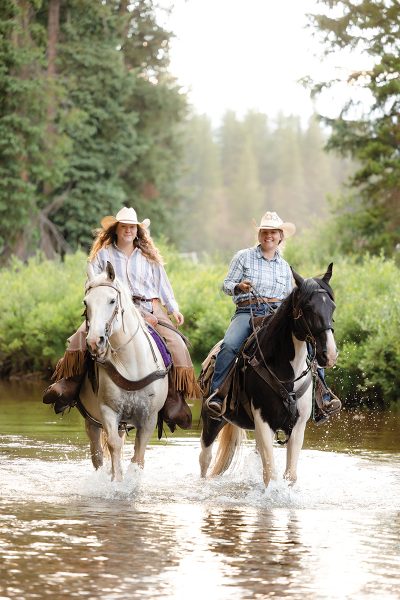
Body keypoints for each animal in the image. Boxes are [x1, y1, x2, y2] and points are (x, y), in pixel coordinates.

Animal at [79, 262, 169, 482]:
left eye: (112, 300)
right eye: (86, 302)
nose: (94, 341)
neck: (131, 365)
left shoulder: (149, 418)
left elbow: (138, 456)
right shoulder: (107, 411)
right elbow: (114, 446)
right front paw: (117, 482)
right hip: (91, 422)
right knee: (98, 454)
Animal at [200, 264, 338, 488]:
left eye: (332, 307)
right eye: (308, 307)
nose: (330, 355)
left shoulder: (298, 426)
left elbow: (289, 476)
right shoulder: (263, 422)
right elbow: (271, 475)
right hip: (211, 419)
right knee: (205, 459)